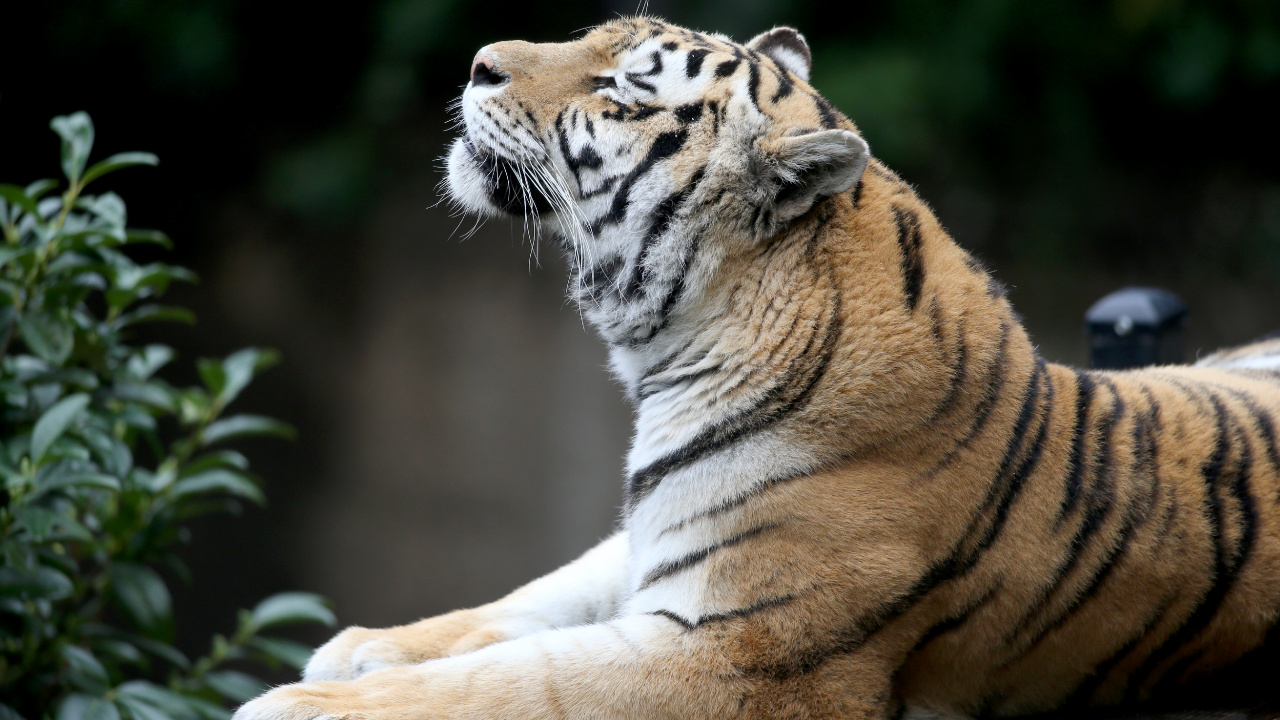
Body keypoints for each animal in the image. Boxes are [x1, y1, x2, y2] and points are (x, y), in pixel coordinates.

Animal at [235, 17, 1280, 720]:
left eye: (621, 89)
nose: (479, 62)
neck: (673, 350)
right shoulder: (655, 542)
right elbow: (530, 603)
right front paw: (363, 647)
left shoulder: (743, 654)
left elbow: (522, 685)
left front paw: (296, 704)